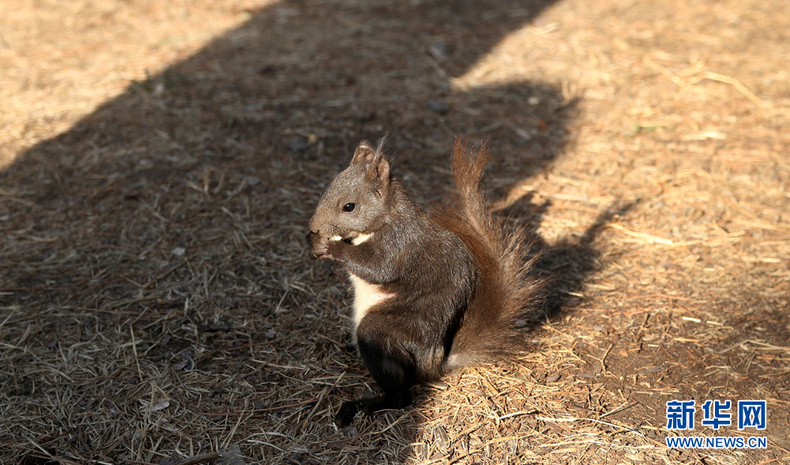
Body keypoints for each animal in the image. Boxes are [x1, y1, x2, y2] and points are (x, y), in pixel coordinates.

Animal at [306, 138, 548, 424]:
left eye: (349, 206)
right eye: (327, 190)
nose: (314, 226)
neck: (386, 217)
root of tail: (434, 364)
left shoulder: (399, 243)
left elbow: (378, 268)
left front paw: (328, 247)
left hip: (389, 332)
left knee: (400, 396)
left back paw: (363, 405)